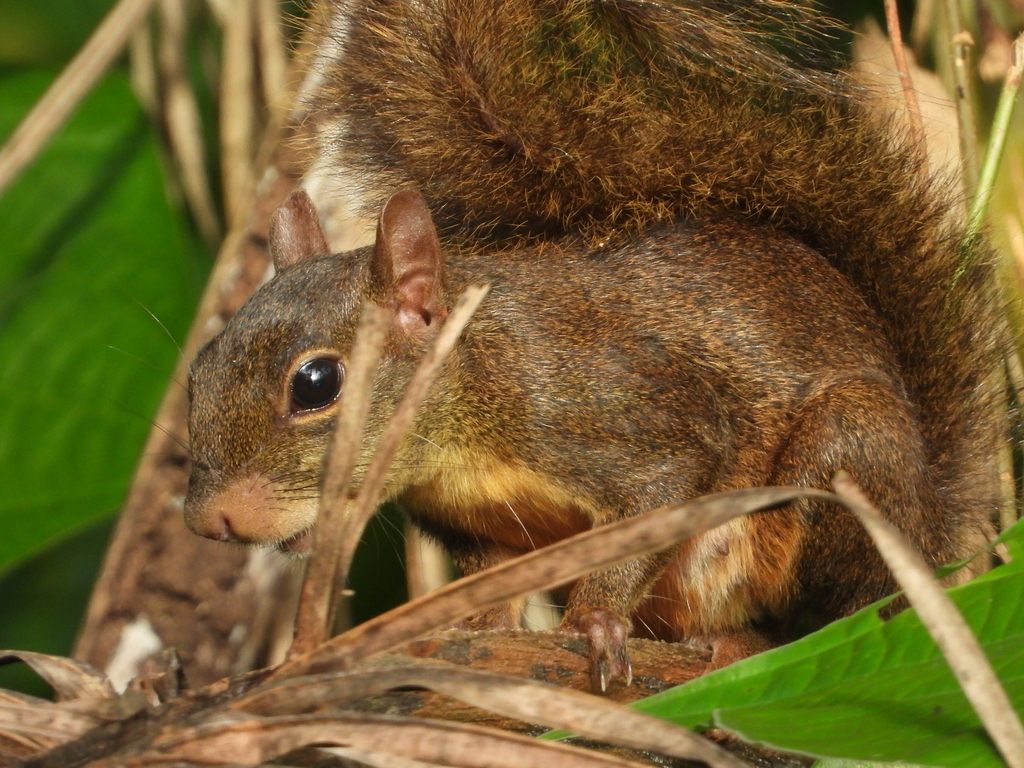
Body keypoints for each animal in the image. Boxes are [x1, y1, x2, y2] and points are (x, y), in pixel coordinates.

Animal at [183, 0, 1005, 690]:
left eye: (317, 382)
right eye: (198, 369)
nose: (209, 522)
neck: (472, 408)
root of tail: (935, 524)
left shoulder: (615, 414)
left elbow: (662, 497)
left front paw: (596, 622)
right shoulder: (480, 524)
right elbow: (494, 583)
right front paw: (475, 627)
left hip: (847, 459)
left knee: (830, 611)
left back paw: (749, 641)